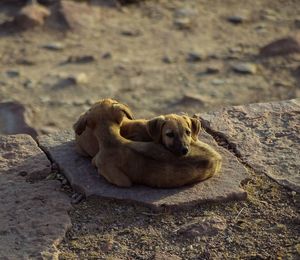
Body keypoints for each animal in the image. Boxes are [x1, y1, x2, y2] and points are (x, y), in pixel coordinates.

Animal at [79, 98, 220, 188]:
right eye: (169, 134)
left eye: (188, 132)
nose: (185, 150)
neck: (112, 140)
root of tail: (218, 157)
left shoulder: (121, 180)